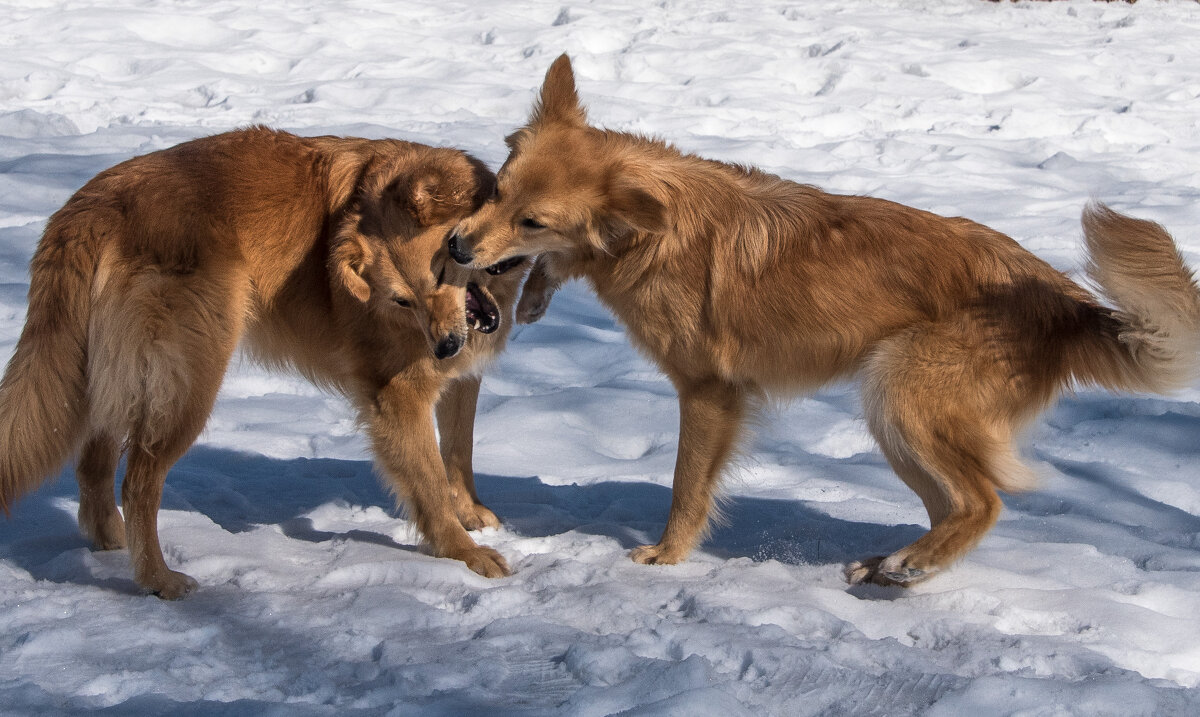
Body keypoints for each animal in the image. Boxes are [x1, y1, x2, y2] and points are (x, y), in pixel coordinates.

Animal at [0, 126, 530, 599]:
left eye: (443, 271)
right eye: (403, 300)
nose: (444, 347)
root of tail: (92, 205)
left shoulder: (460, 381)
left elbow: (458, 451)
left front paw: (472, 514)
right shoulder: (398, 397)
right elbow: (431, 483)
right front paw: (465, 554)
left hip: (118, 374)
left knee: (93, 462)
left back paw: (111, 541)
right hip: (187, 381)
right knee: (138, 484)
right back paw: (157, 579)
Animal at [448, 54, 1200, 585]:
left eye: (532, 219)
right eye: (498, 192)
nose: (455, 245)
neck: (655, 234)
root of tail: (1066, 302)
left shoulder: (709, 393)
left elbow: (688, 486)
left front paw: (668, 554)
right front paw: (536, 292)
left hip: (902, 397)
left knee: (982, 501)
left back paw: (912, 562)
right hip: (896, 418)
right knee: (953, 503)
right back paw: (896, 566)